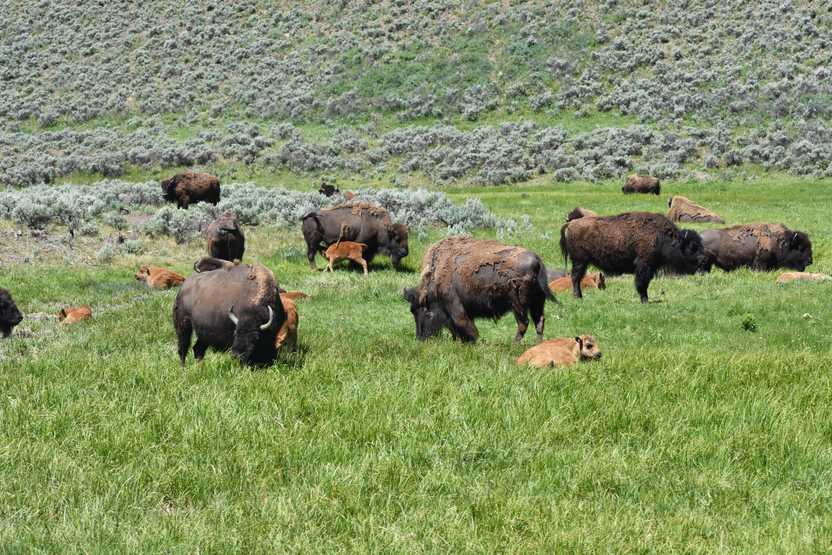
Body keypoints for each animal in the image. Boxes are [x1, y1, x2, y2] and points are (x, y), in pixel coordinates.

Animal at [403, 236, 555, 343]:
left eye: (427, 313)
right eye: (412, 312)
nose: (421, 338)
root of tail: (537, 262)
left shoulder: (455, 306)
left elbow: (465, 325)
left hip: (518, 305)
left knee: (524, 323)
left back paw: (515, 344)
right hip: (537, 303)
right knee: (539, 321)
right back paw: (537, 343)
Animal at [560, 212, 707, 303]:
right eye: (692, 246)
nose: (703, 260)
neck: (662, 236)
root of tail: (570, 224)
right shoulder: (644, 265)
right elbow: (642, 283)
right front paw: (645, 300)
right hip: (580, 261)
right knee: (575, 278)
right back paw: (578, 297)